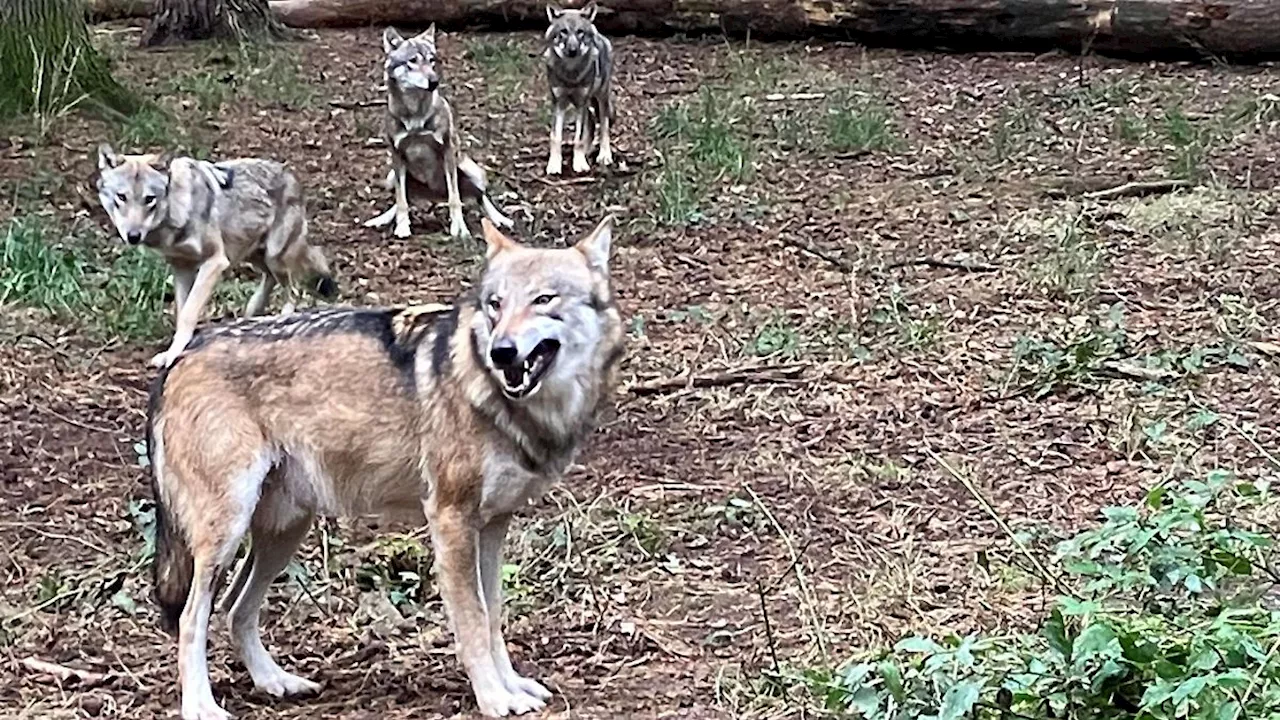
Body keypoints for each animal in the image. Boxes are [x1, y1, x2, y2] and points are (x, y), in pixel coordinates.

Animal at [95, 143, 337, 366]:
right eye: (121, 197)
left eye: (149, 199)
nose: (133, 236)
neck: (178, 209)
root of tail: (290, 174)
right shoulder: (181, 267)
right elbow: (182, 311)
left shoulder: (215, 262)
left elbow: (189, 313)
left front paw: (173, 354)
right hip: (252, 255)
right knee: (270, 280)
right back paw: (253, 311)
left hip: (274, 256)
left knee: (294, 291)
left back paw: (281, 319)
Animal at [145, 215, 624, 712]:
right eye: (495, 304)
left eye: (543, 299)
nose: (502, 351)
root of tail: (181, 356)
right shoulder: (451, 520)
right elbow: (473, 622)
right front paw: (494, 698)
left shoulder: (494, 525)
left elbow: (493, 616)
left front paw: (512, 686)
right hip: (227, 532)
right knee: (191, 619)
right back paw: (201, 707)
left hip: (284, 530)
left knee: (234, 608)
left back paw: (275, 681)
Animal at [363, 25, 512, 238]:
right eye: (413, 60)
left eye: (431, 60)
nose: (434, 81)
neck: (415, 114)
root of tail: (435, 195)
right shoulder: (396, 155)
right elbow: (401, 201)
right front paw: (402, 227)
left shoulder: (448, 151)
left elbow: (455, 199)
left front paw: (460, 229)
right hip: (392, 176)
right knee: (404, 198)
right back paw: (382, 219)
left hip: (470, 170)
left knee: (480, 196)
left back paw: (500, 219)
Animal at [542, 2, 616, 175]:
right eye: (563, 31)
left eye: (580, 32)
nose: (573, 50)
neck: (571, 74)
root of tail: (600, 34)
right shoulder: (559, 103)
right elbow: (556, 137)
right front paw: (554, 165)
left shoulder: (582, 102)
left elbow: (579, 138)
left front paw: (580, 164)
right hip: (586, 104)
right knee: (591, 123)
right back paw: (588, 151)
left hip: (600, 98)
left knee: (603, 126)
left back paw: (604, 155)